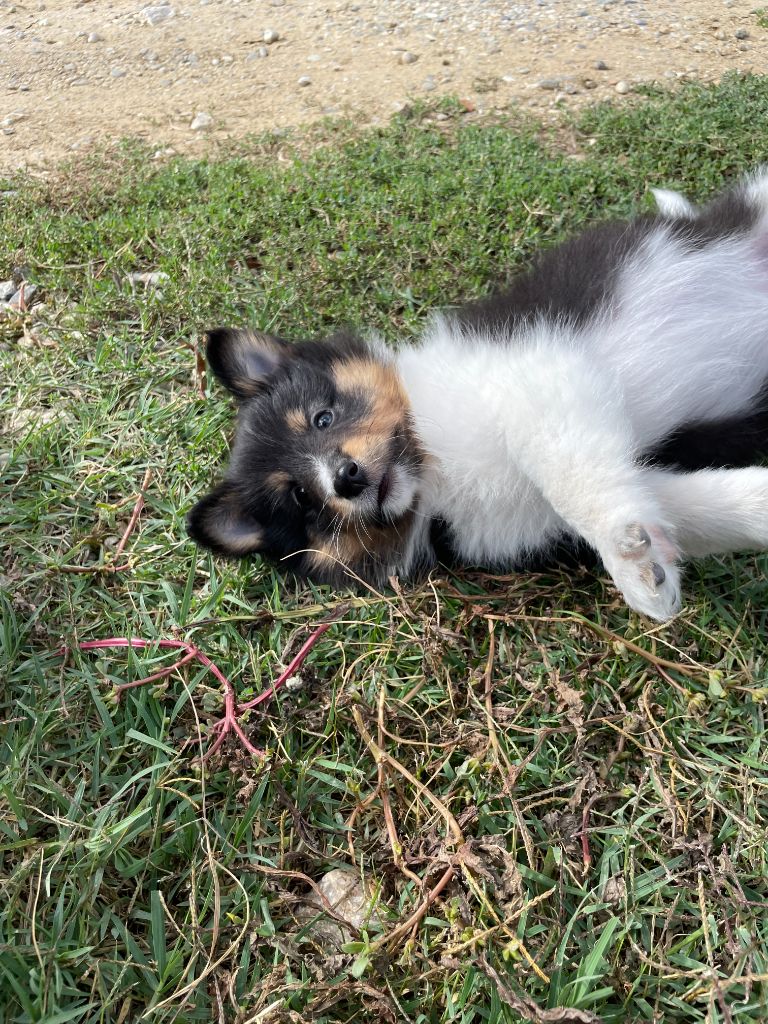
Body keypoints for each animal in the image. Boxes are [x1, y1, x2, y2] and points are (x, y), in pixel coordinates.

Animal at [185, 172, 768, 618]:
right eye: (302, 501)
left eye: (322, 418)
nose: (345, 479)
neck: (432, 467)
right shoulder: (567, 497)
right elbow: (687, 503)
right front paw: (660, 558)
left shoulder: (540, 374)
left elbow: (566, 474)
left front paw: (631, 564)